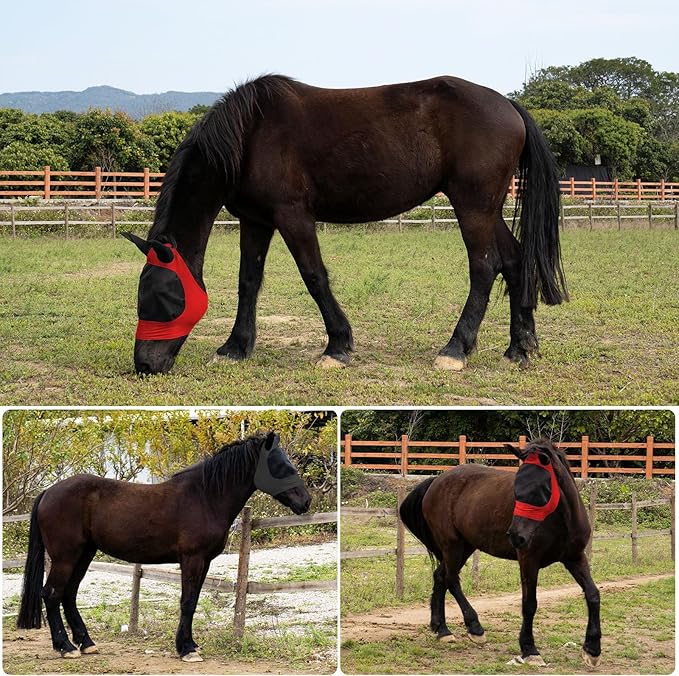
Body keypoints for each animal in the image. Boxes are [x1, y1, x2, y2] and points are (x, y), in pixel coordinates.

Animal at [16, 432, 311, 662]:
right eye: (280, 466)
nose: (306, 501)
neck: (205, 497)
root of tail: (48, 492)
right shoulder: (192, 559)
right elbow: (187, 602)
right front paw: (187, 649)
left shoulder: (204, 561)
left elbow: (192, 601)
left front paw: (189, 645)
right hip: (65, 557)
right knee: (51, 594)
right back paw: (65, 647)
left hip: (84, 554)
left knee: (68, 594)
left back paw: (86, 644)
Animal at [123, 74, 567, 375]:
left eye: (163, 297)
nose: (145, 364)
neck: (250, 134)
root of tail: (509, 106)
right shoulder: (255, 220)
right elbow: (248, 281)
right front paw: (235, 347)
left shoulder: (293, 215)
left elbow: (314, 276)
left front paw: (337, 346)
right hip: (486, 209)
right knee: (514, 261)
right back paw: (520, 347)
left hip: (472, 206)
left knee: (484, 267)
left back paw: (455, 349)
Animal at [398, 437, 600, 667]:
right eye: (516, 487)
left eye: (542, 487)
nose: (515, 536)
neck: (561, 521)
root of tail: (436, 481)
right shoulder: (528, 560)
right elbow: (529, 604)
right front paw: (529, 649)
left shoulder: (575, 557)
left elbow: (593, 594)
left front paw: (592, 649)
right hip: (452, 545)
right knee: (451, 579)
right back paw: (474, 628)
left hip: (465, 546)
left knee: (441, 577)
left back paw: (442, 630)